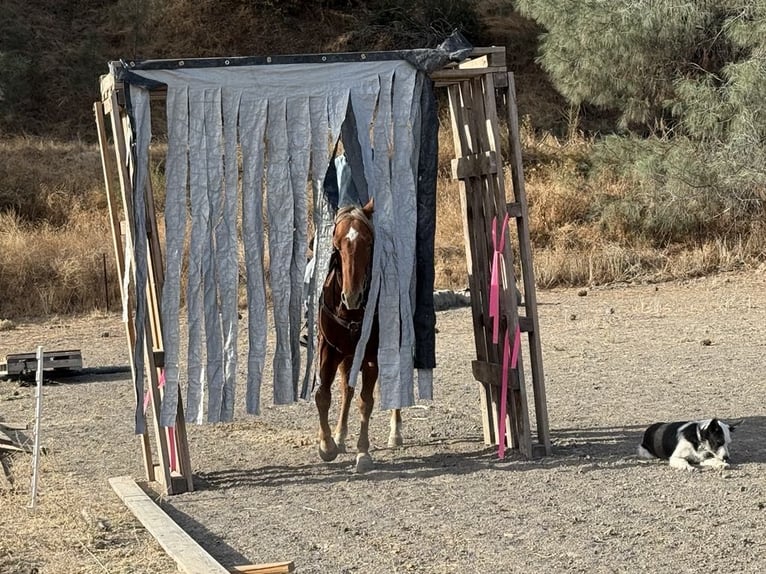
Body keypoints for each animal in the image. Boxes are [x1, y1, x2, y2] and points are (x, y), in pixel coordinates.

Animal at [315, 198, 402, 473]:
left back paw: (396, 432)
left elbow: (366, 402)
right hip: (347, 356)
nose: (351, 296)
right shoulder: (329, 349)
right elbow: (323, 395)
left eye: (368, 242)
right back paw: (340, 435)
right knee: (347, 389)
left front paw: (363, 452)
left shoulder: (372, 354)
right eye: (337, 243)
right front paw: (327, 445)